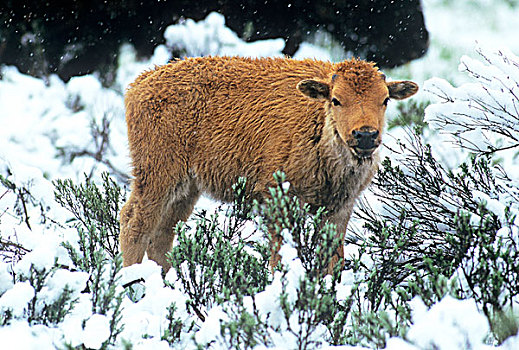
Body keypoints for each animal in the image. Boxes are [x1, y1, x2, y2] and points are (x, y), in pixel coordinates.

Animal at [121, 55, 418, 274]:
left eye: (385, 99)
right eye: (336, 100)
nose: (365, 135)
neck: (317, 120)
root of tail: (139, 84)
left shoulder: (339, 207)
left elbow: (332, 258)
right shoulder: (278, 198)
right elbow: (280, 255)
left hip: (186, 188)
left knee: (163, 233)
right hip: (158, 176)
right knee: (135, 222)